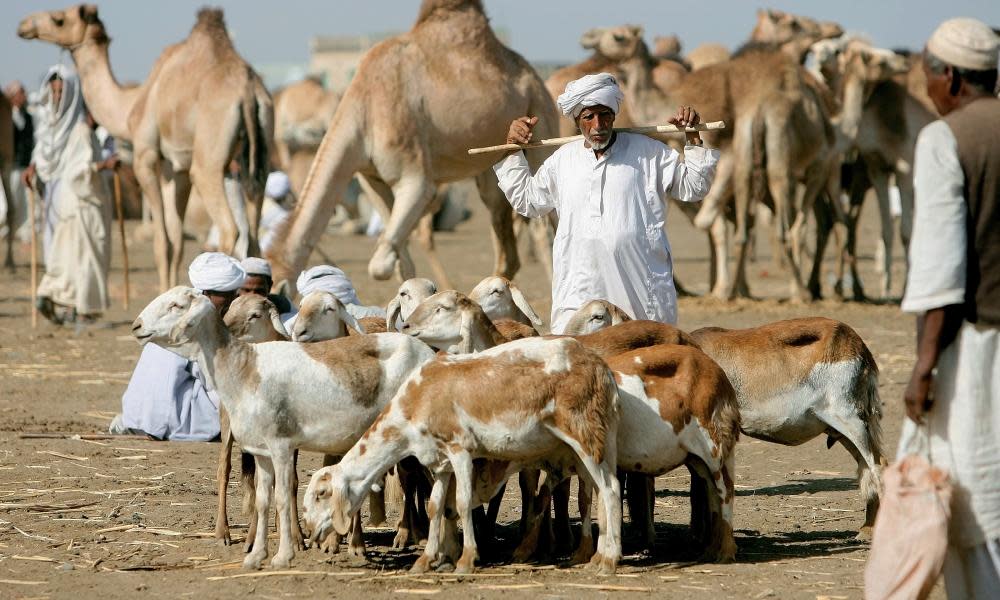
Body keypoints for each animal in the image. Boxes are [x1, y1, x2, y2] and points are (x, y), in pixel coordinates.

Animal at [21, 4, 274, 290]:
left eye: (59, 19)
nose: (24, 26)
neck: (131, 104)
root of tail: (248, 91)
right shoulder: (177, 167)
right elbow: (176, 240)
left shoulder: (146, 157)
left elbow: (162, 243)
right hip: (258, 158)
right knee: (253, 234)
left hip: (208, 162)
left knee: (231, 228)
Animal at [131, 288, 436, 568]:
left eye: (176, 305)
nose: (136, 326)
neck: (242, 369)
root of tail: (428, 351)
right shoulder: (261, 451)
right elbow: (263, 499)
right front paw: (256, 555)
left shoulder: (281, 446)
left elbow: (282, 497)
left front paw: (283, 556)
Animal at [270, 0, 560, 290]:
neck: (363, 109)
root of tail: (536, 76)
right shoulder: (371, 179)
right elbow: (400, 262)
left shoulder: (414, 178)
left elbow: (380, 264)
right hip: (491, 167)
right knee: (506, 241)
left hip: (541, 114)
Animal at [300, 338, 620, 576]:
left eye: (321, 494)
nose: (311, 532)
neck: (411, 409)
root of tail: (601, 369)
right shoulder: (439, 462)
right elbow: (435, 507)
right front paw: (425, 561)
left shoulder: (460, 450)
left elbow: (463, 503)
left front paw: (466, 560)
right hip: (595, 441)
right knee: (598, 492)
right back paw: (596, 556)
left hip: (584, 434)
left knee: (611, 490)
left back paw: (609, 561)